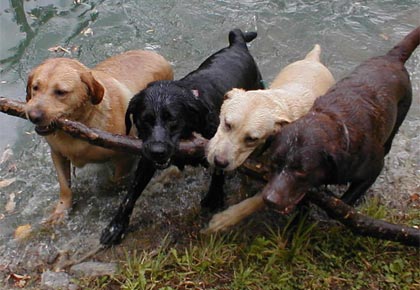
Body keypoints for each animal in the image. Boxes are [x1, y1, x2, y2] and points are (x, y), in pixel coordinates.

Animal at [24, 50, 173, 222]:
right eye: (35, 87)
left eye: (61, 92)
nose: (33, 116)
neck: (79, 125)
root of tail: (154, 53)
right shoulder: (57, 154)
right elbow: (64, 186)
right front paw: (60, 211)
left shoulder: (124, 157)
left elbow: (115, 181)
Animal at [100, 28, 262, 245]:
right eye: (145, 120)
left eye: (173, 119)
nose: (158, 151)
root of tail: (237, 43)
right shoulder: (147, 159)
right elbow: (131, 193)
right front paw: (116, 226)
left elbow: (218, 169)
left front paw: (214, 196)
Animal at [203, 25, 416, 233]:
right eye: (227, 124)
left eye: (251, 139)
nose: (219, 161)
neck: (278, 104)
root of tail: (312, 60)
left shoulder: (282, 179)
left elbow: (261, 199)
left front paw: (226, 219)